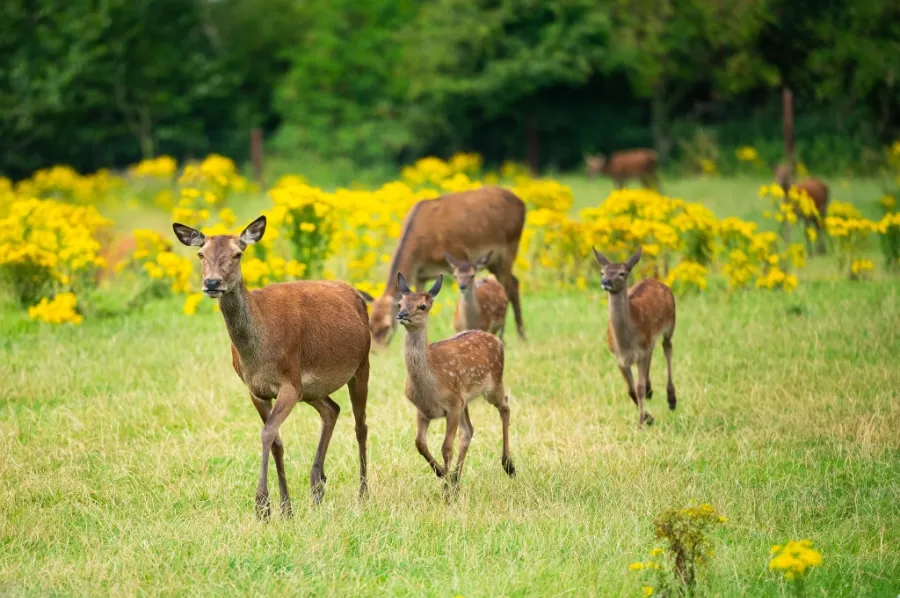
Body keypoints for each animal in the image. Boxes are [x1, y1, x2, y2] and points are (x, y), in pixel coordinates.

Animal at [171, 217, 370, 520]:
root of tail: (357, 294)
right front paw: (286, 508)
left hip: (361, 364)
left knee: (361, 425)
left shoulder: (289, 382)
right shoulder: (256, 389)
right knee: (332, 409)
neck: (258, 354)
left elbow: (266, 433)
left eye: (237, 254)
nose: (212, 283)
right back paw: (317, 485)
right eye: (200, 254)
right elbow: (276, 441)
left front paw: (262, 506)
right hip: (311, 391)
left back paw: (363, 494)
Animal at [362, 189, 524, 352]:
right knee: (514, 281)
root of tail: (521, 202)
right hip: (494, 261)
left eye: (386, 326)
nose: (376, 351)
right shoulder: (420, 275)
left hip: (509, 248)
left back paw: (520, 337)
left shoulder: (459, 256)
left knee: (511, 286)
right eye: (370, 324)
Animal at [398, 274, 516, 490]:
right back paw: (455, 478)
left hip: (493, 384)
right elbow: (420, 443)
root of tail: (496, 339)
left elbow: (446, 447)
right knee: (468, 430)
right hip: (465, 401)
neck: (430, 383)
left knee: (504, 406)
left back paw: (508, 465)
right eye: (400, 303)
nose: (401, 314)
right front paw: (442, 474)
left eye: (422, 306)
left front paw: (445, 487)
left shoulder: (452, 405)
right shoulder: (423, 409)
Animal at [592, 246, 676, 428]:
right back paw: (652, 391)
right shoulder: (619, 357)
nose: (606, 282)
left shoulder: (641, 351)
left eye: (622, 273)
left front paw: (641, 423)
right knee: (654, 350)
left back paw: (672, 399)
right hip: (650, 339)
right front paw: (648, 418)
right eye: (602, 272)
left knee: (667, 347)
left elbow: (639, 388)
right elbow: (631, 390)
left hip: (671, 323)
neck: (625, 343)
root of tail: (656, 281)